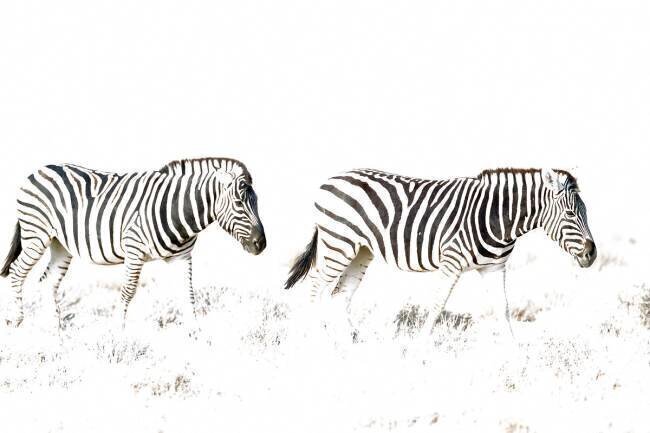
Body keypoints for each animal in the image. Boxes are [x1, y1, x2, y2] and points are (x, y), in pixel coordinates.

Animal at [1, 157, 266, 328]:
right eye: (239, 204)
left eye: (257, 203)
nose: (261, 244)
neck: (177, 209)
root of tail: (39, 170)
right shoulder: (134, 250)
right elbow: (127, 293)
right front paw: (118, 335)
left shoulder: (182, 256)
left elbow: (188, 294)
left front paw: (197, 337)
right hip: (36, 234)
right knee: (17, 271)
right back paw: (17, 323)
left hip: (60, 244)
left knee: (48, 283)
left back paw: (57, 334)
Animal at [284, 167, 596, 335]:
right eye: (570, 213)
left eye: (586, 212)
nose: (592, 254)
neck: (497, 216)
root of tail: (333, 178)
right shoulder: (451, 262)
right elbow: (436, 306)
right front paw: (419, 350)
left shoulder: (494, 267)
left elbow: (504, 309)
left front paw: (517, 355)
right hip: (338, 242)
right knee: (315, 288)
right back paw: (313, 339)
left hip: (360, 250)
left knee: (339, 294)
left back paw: (349, 342)